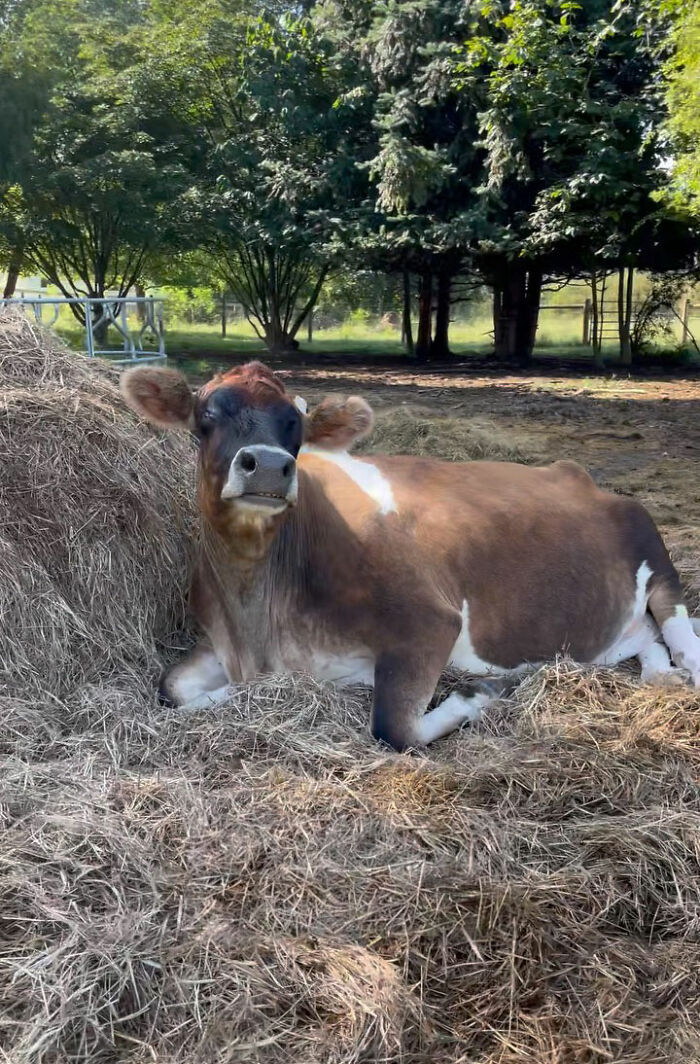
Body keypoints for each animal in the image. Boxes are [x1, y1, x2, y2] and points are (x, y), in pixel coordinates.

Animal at [122, 361, 697, 753]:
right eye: (206, 415)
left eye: (296, 425)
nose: (266, 465)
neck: (257, 617)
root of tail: (575, 473)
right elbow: (171, 689)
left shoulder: (427, 620)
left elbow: (394, 729)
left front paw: (481, 694)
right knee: (645, 640)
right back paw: (658, 676)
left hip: (658, 559)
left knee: (682, 637)